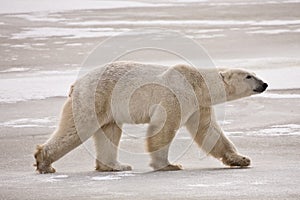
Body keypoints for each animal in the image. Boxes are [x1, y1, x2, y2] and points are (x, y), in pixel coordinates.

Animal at [34, 62, 268, 173]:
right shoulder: (177, 94)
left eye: (255, 74)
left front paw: (241, 159)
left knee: (110, 131)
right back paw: (44, 162)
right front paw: (169, 164)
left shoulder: (199, 104)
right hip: (95, 97)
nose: (265, 83)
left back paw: (116, 165)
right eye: (249, 76)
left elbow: (209, 131)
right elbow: (164, 126)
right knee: (77, 128)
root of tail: (76, 84)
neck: (199, 82)